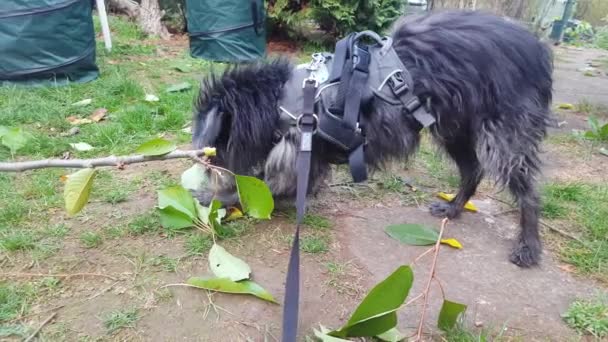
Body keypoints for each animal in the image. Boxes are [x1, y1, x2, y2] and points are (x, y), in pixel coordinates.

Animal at [192, 10, 552, 268]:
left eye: (215, 147)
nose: (207, 166)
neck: (283, 98)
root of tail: (537, 49)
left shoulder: (298, 158)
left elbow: (258, 188)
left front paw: (210, 197)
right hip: (453, 128)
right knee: (472, 170)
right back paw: (453, 208)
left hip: (502, 136)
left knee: (527, 191)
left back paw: (528, 245)